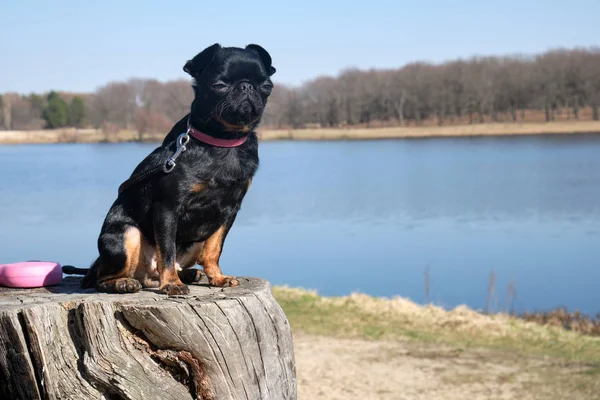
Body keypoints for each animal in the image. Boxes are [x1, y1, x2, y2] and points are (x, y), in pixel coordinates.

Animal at [78, 43, 276, 296]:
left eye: (267, 86)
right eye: (219, 85)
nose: (246, 86)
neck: (223, 141)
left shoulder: (229, 211)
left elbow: (214, 250)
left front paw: (217, 277)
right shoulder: (167, 208)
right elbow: (167, 250)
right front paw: (171, 283)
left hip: (195, 241)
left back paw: (189, 274)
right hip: (126, 235)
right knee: (104, 277)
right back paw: (124, 282)